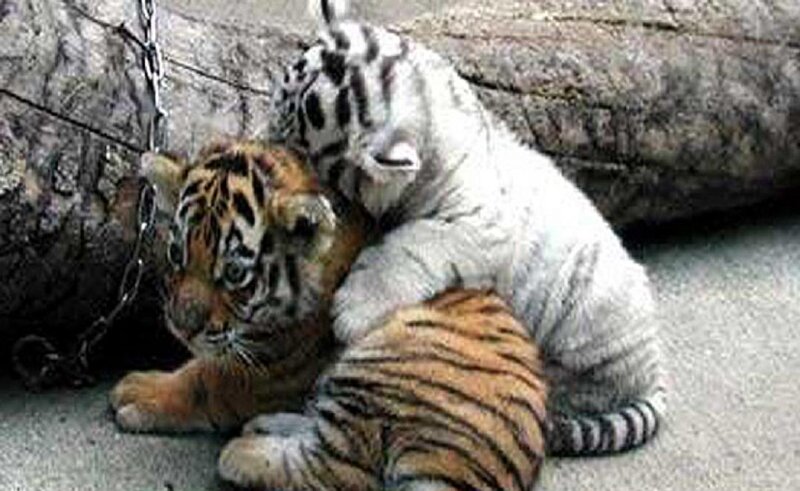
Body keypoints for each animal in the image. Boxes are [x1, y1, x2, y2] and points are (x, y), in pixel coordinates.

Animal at [110, 141, 548, 491]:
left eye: (234, 274)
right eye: (176, 254)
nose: (181, 329)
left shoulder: (271, 370)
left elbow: (204, 379)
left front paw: (140, 390)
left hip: (387, 359)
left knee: (341, 469)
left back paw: (244, 452)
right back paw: (270, 425)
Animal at [265, 0, 666, 456]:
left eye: (303, 151)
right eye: (275, 108)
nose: (266, 151)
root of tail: (653, 367)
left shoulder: (480, 224)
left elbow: (414, 242)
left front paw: (354, 310)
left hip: (590, 327)